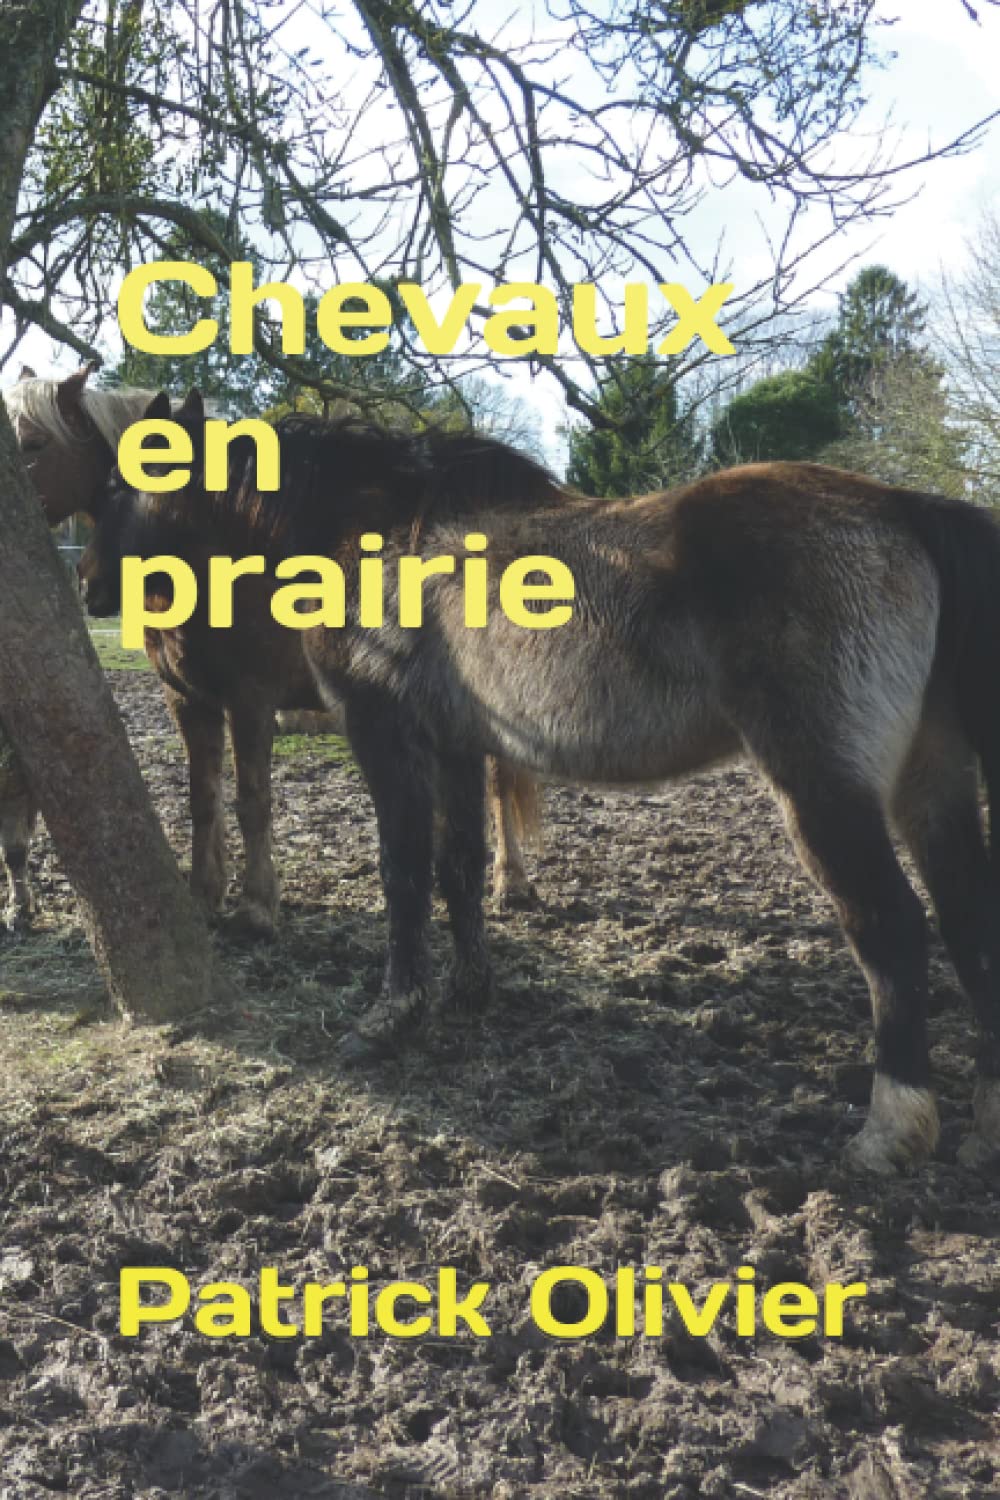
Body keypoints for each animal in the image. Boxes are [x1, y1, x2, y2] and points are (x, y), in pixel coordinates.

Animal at [81, 389, 1000, 1177]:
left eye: (123, 482)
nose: (90, 585)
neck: (376, 532)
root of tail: (904, 508)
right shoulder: (456, 744)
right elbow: (458, 868)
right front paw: (468, 993)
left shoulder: (385, 735)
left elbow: (403, 874)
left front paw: (391, 1016)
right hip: (933, 780)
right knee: (968, 918)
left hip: (824, 790)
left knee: (893, 929)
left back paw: (891, 1129)